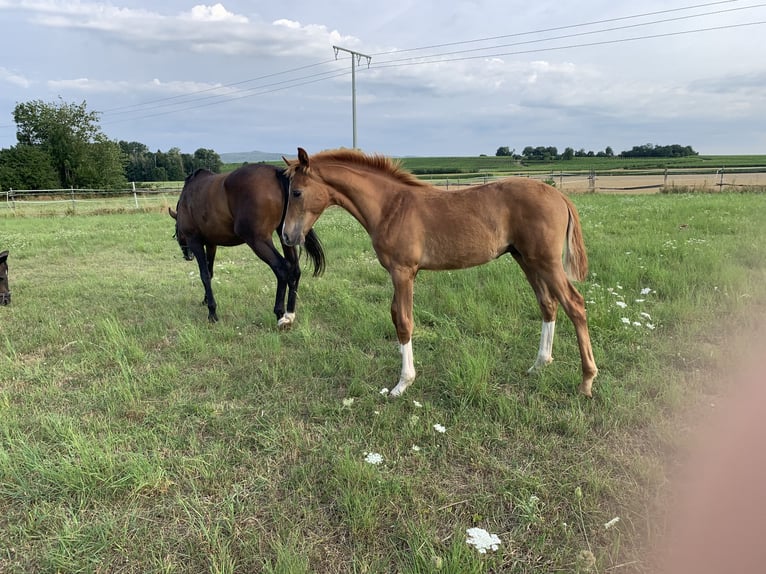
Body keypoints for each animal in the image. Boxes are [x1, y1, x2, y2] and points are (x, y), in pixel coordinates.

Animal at [170, 164, 326, 328]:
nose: (187, 256)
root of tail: (276, 172)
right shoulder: (212, 244)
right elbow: (210, 272)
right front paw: (206, 300)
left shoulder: (195, 242)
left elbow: (204, 275)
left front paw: (212, 312)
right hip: (285, 236)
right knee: (294, 270)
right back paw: (289, 315)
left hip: (257, 240)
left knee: (282, 268)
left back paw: (279, 313)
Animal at [284, 148, 600, 398]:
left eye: (297, 192)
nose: (287, 236)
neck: (390, 207)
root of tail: (559, 195)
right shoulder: (399, 274)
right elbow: (395, 315)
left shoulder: (403, 272)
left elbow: (404, 321)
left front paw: (402, 383)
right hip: (526, 259)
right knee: (548, 305)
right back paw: (539, 365)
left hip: (546, 262)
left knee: (574, 305)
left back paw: (586, 381)